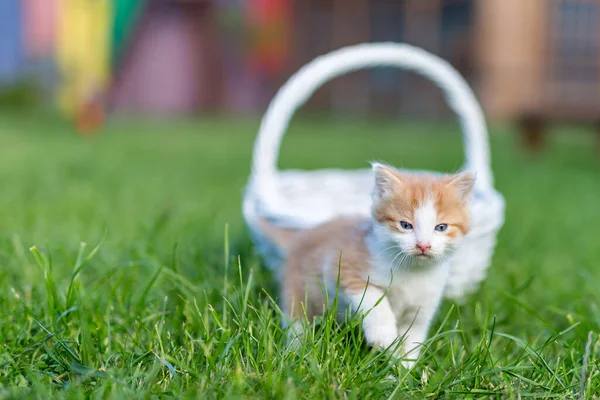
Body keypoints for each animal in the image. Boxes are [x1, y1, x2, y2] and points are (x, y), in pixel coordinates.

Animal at [262, 163, 474, 368]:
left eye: (441, 227)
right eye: (405, 225)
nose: (423, 245)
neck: (413, 270)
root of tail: (300, 237)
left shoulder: (424, 305)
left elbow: (414, 334)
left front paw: (405, 367)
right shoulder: (342, 264)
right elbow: (373, 297)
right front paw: (384, 337)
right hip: (298, 288)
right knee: (295, 318)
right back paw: (296, 349)